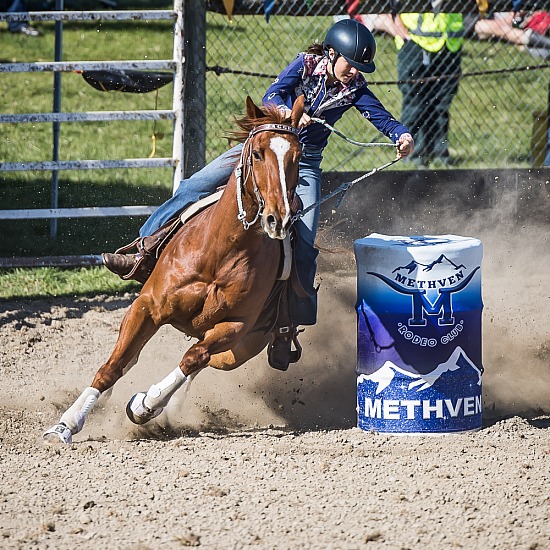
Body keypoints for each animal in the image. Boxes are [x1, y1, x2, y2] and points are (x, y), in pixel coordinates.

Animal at [44, 96, 306, 448]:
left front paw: (145, 405)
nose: (278, 219)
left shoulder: (235, 327)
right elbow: (112, 366)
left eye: (298, 156)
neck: (220, 252)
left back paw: (161, 407)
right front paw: (67, 423)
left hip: (241, 350)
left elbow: (192, 358)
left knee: (198, 362)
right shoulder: (146, 307)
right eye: (257, 153)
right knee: (131, 359)